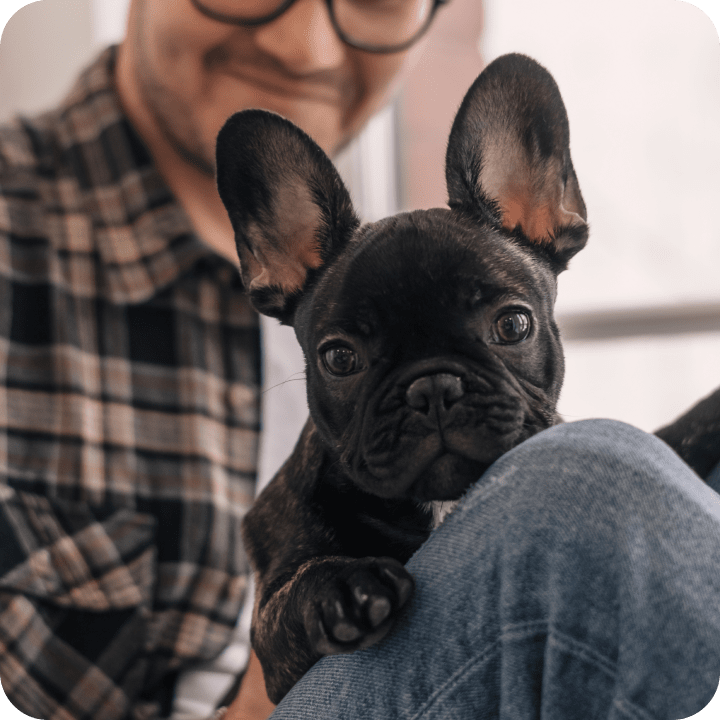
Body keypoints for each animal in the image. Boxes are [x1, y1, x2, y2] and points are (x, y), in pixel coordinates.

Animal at [214, 54, 720, 704]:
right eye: (340, 359)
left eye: (513, 324)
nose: (432, 388)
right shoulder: (274, 629)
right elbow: (292, 594)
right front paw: (341, 589)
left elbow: (675, 435)